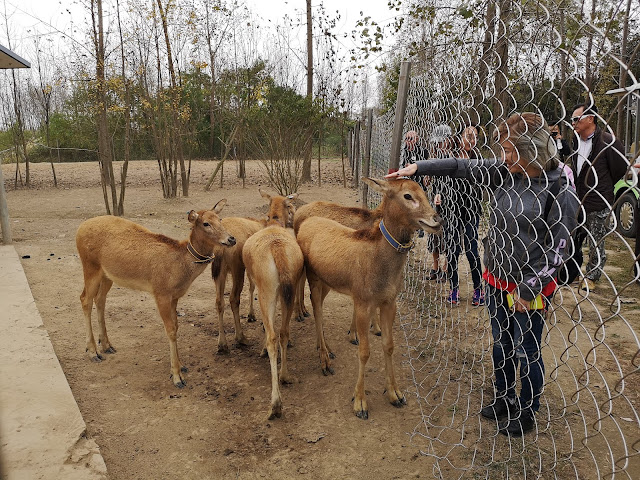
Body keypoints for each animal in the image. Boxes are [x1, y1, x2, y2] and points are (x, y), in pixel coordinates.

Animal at [75, 201, 235, 388]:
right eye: (206, 223)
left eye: (220, 218)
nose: (231, 239)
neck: (180, 269)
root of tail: (80, 228)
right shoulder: (161, 293)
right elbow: (171, 330)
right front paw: (177, 377)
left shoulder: (175, 296)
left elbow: (176, 326)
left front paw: (181, 365)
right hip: (90, 266)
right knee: (85, 299)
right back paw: (93, 352)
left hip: (107, 275)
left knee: (100, 300)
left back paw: (107, 346)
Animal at [244, 189, 306, 418]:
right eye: (290, 205)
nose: (294, 214)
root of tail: (277, 249)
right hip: (289, 287)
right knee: (284, 331)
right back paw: (285, 375)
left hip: (267, 291)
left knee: (272, 336)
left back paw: (276, 404)